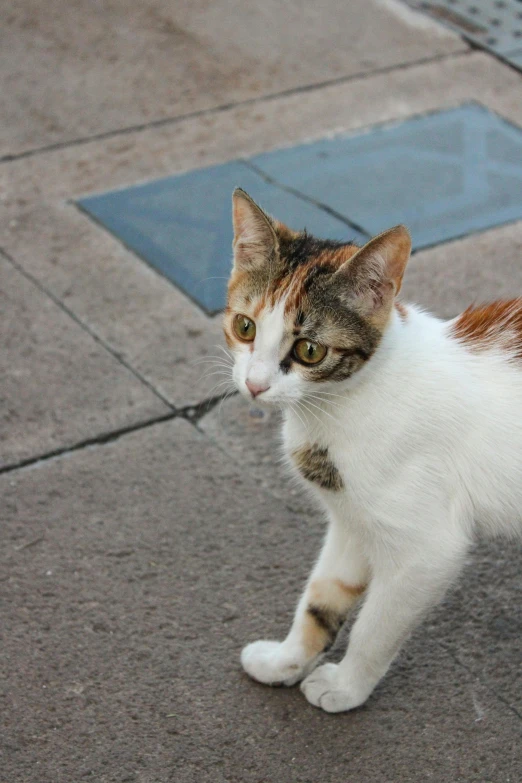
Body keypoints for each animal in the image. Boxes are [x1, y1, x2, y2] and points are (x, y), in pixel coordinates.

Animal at [222, 187, 520, 712]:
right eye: (244, 326)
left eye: (310, 351)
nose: (255, 386)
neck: (338, 407)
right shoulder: (350, 521)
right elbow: (321, 597)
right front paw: (285, 662)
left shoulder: (428, 550)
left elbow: (375, 627)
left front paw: (345, 686)